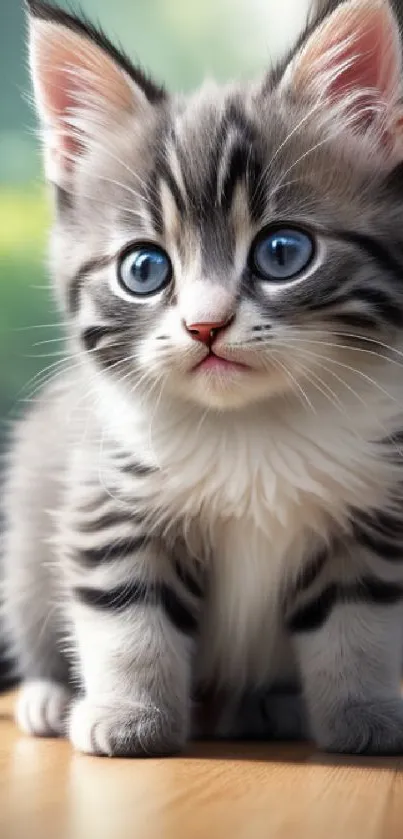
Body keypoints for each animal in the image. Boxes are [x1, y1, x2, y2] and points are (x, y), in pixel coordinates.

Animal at [3, 0, 403, 760]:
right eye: (143, 268)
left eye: (283, 252)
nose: (205, 325)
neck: (248, 428)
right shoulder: (110, 495)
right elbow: (126, 613)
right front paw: (128, 713)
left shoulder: (372, 507)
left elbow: (358, 618)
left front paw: (365, 712)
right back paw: (49, 695)